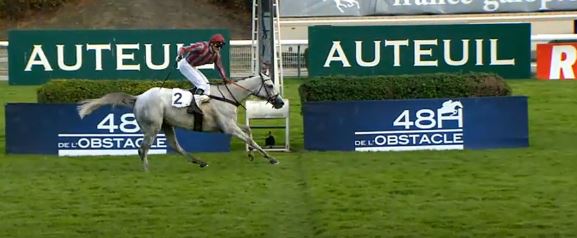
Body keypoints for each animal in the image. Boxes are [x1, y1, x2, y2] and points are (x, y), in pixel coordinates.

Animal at [76, 74, 284, 171]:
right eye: (270, 85)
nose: (280, 102)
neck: (227, 96)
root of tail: (138, 98)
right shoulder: (227, 127)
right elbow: (250, 139)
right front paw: (271, 158)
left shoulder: (230, 124)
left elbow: (248, 130)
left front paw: (252, 155)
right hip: (152, 127)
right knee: (143, 148)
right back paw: (147, 170)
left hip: (167, 125)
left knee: (175, 146)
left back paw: (200, 162)